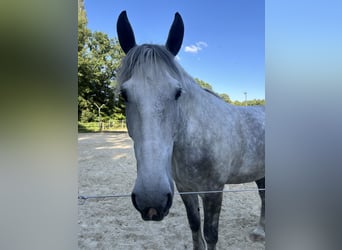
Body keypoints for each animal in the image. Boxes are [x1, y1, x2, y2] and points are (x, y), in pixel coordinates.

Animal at [116, 11, 266, 250]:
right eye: (124, 94)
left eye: (177, 92)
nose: (151, 200)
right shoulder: (185, 189)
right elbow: (195, 226)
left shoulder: (213, 192)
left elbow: (211, 234)